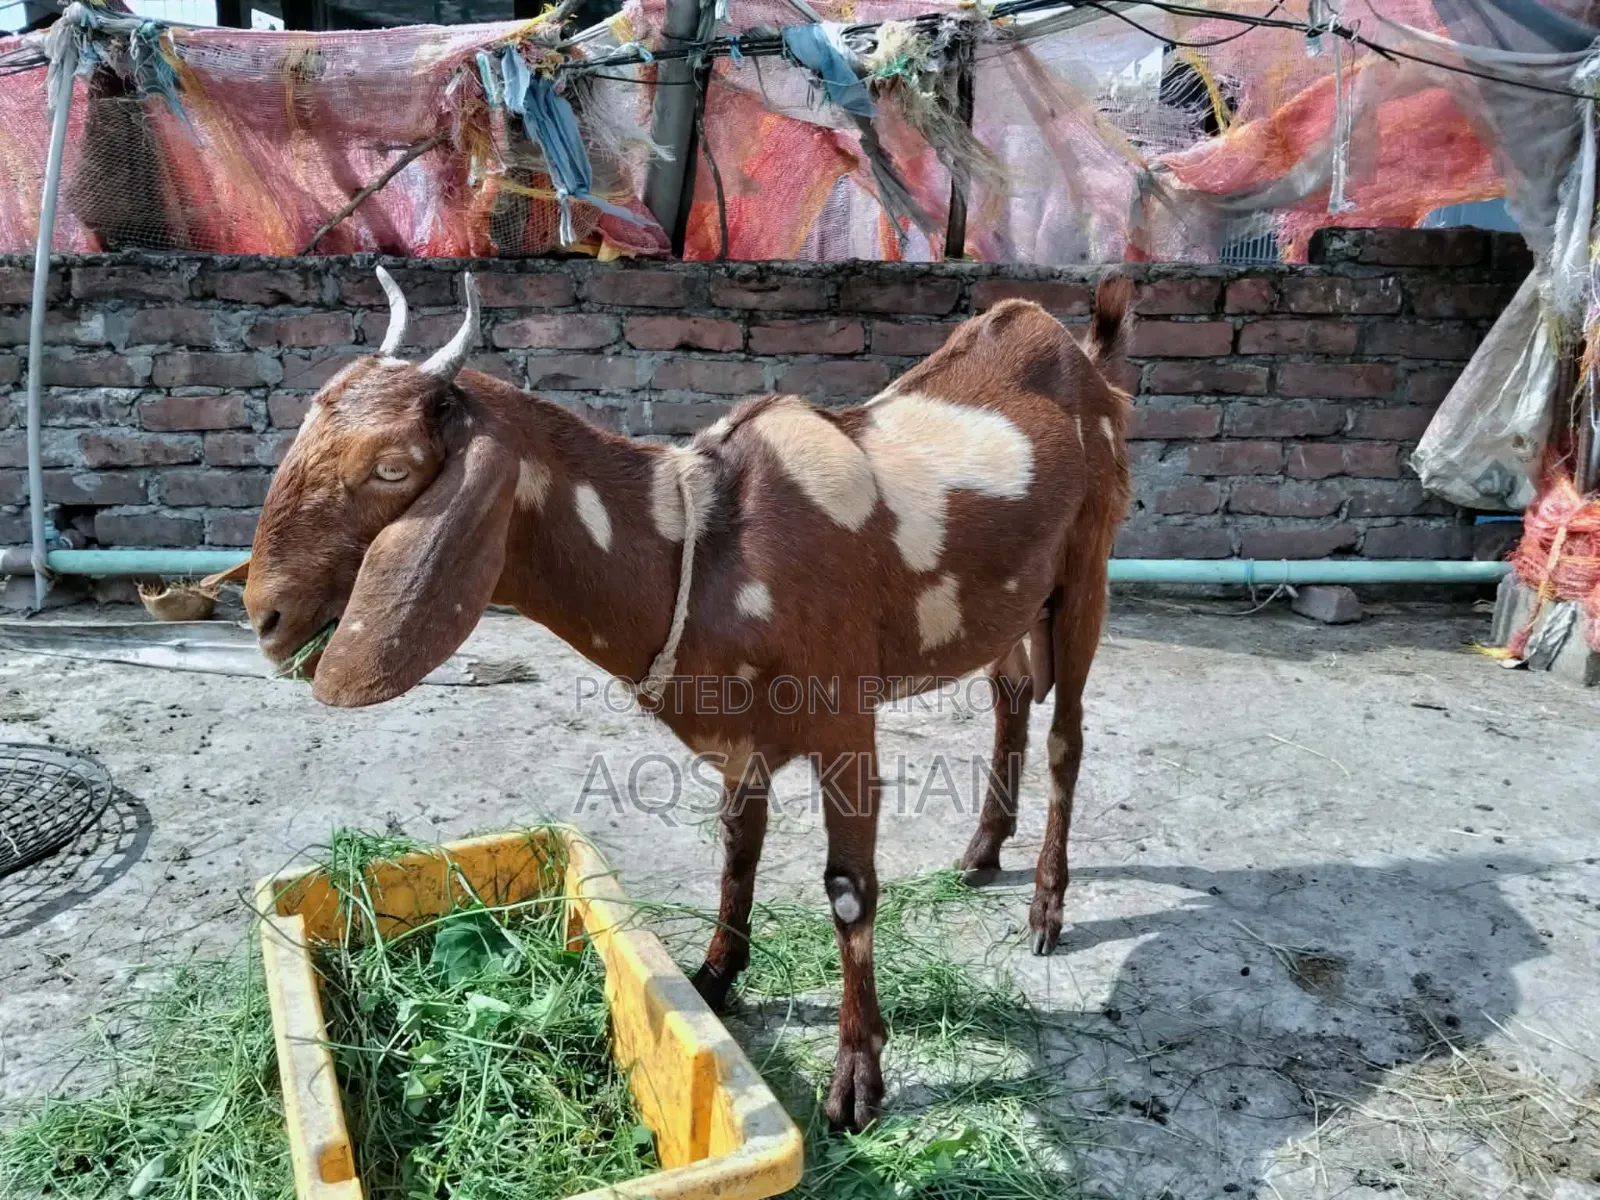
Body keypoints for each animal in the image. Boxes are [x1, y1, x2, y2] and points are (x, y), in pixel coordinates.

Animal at [242, 267, 1134, 1131]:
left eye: (393, 466)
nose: (265, 619)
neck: (704, 549)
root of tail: (1080, 356)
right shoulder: (743, 732)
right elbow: (738, 845)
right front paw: (714, 978)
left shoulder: (845, 713)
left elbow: (848, 888)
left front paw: (857, 1081)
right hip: (1011, 606)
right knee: (1011, 695)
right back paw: (982, 850)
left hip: (1086, 570)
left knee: (1068, 738)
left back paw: (1047, 909)